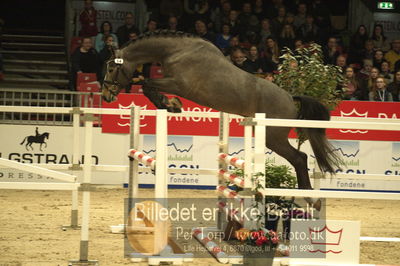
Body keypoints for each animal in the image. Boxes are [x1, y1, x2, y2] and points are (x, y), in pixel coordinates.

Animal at [101, 30, 340, 189]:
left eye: (112, 67)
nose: (105, 95)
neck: (177, 51)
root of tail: (291, 97)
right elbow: (147, 84)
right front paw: (172, 105)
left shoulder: (179, 84)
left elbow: (147, 84)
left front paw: (170, 105)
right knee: (299, 157)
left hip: (274, 137)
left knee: (299, 157)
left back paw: (306, 195)